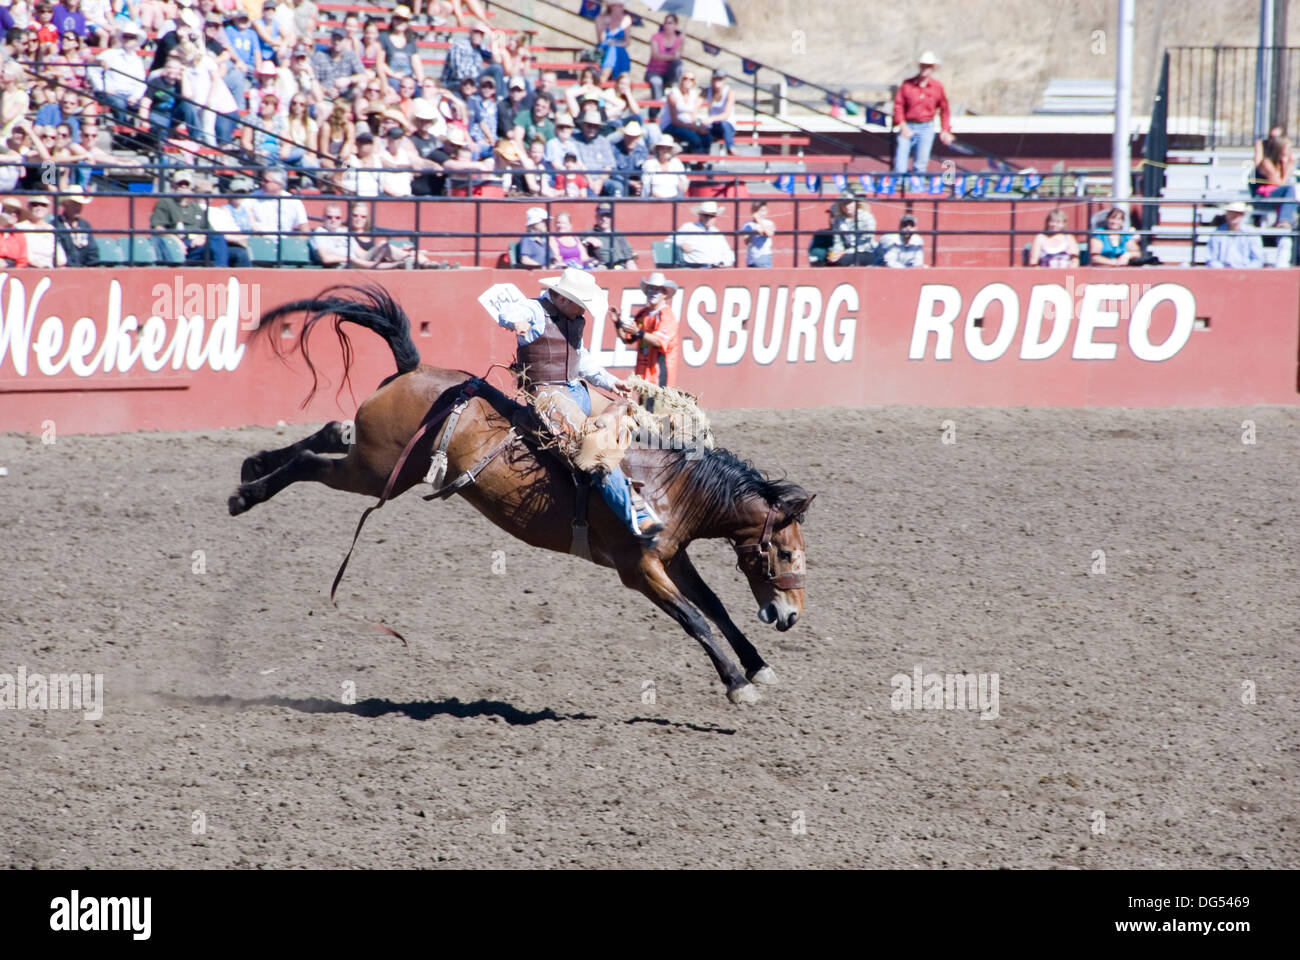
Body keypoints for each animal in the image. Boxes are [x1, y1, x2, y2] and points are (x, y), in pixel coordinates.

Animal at [224, 283, 811, 702]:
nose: (790, 615)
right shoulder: (638, 567)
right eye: (784, 553)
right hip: (377, 470)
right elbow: (693, 617)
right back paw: (245, 497)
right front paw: (737, 684)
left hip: (379, 461)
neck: (668, 486)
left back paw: (250, 470)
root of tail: (415, 367)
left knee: (328, 433)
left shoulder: (674, 556)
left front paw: (758, 667)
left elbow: (715, 606)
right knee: (311, 461)